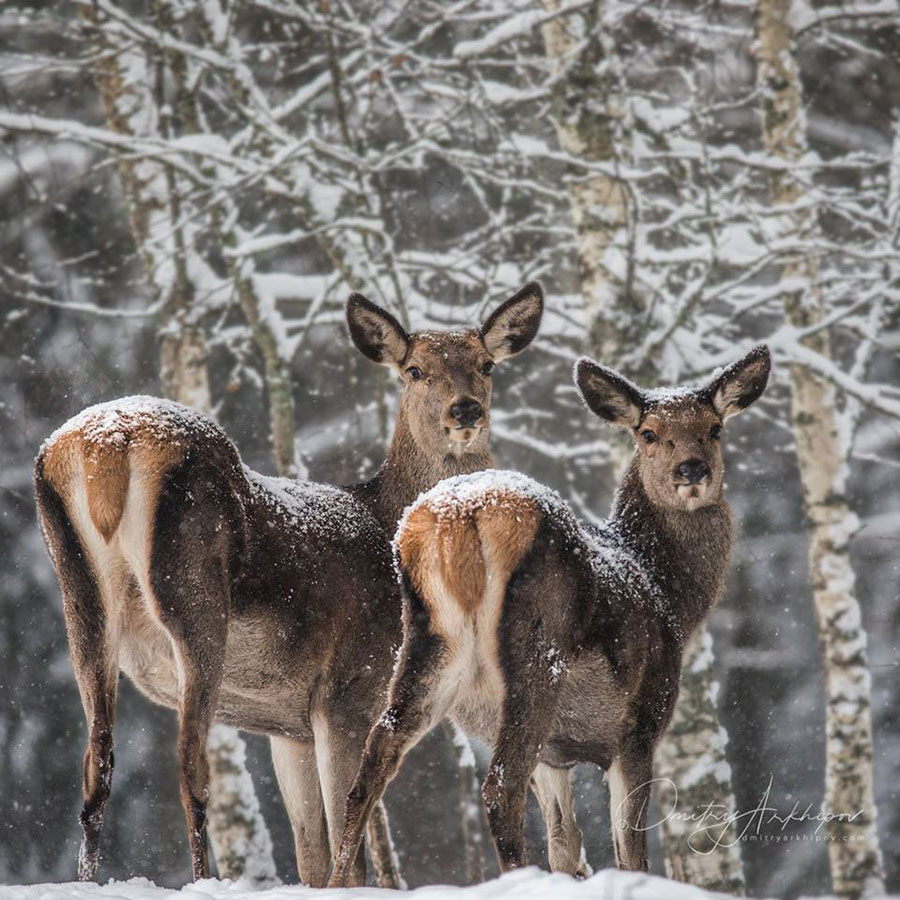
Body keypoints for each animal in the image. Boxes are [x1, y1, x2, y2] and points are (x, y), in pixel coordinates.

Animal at [31, 284, 544, 884]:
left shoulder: (288, 726)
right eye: (415, 370)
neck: (386, 517)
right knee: (190, 766)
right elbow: (353, 845)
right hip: (195, 596)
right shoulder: (347, 692)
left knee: (97, 767)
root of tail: (108, 445)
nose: (465, 409)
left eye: (487, 365)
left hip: (79, 597)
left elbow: (311, 855)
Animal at [326, 346, 768, 884]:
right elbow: (628, 849)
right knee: (499, 785)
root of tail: (461, 514)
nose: (691, 469)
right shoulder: (639, 723)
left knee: (372, 763)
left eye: (714, 428)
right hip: (537, 651)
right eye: (648, 433)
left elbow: (566, 844)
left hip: (426, 645)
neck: (669, 596)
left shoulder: (555, 758)